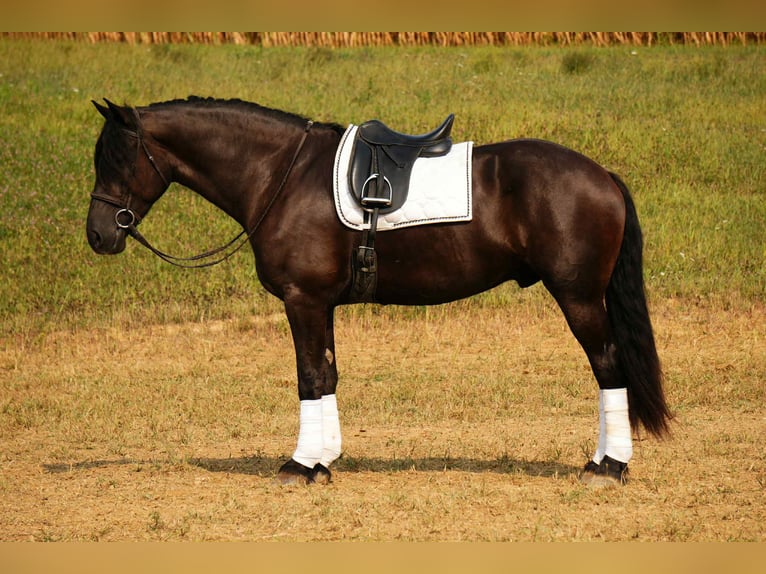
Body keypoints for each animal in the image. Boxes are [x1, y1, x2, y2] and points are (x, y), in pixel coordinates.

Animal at [86, 96, 671, 488]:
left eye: (115, 159)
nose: (98, 235)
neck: (282, 176)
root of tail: (602, 175)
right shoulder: (319, 303)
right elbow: (327, 375)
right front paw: (324, 460)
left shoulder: (302, 299)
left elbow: (308, 376)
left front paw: (299, 465)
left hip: (577, 297)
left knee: (607, 365)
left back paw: (609, 466)